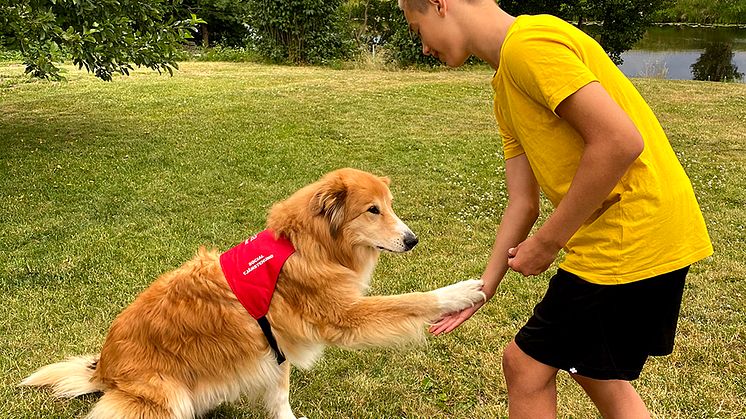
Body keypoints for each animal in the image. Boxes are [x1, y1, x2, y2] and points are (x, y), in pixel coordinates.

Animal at [20, 168, 486, 419]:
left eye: (389, 206)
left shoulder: (273, 347)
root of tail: (103, 369)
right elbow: (412, 300)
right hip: (167, 397)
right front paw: (460, 293)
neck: (304, 243)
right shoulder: (342, 317)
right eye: (372, 210)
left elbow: (279, 398)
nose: (412, 240)